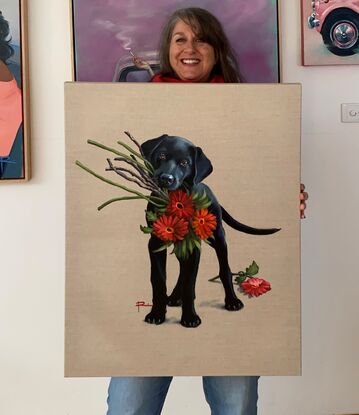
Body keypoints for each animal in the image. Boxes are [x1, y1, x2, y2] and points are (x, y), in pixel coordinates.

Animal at [141, 136, 282, 328]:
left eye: (184, 163)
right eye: (161, 156)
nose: (166, 178)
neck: (174, 201)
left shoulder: (194, 246)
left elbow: (190, 283)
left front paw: (190, 318)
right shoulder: (156, 242)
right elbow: (158, 280)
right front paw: (156, 314)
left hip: (219, 238)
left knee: (224, 271)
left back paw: (232, 301)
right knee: (182, 270)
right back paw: (175, 297)